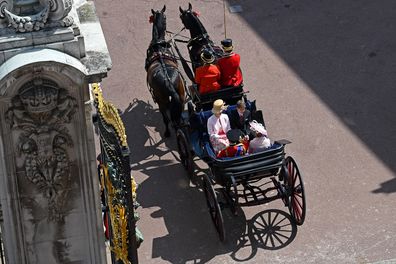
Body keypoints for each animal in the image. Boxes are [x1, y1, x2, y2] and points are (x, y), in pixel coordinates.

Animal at [146, 5, 186, 137]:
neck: (158, 47)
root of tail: (169, 83)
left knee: (167, 119)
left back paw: (168, 132)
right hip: (181, 96)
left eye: (164, 17)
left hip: (162, 101)